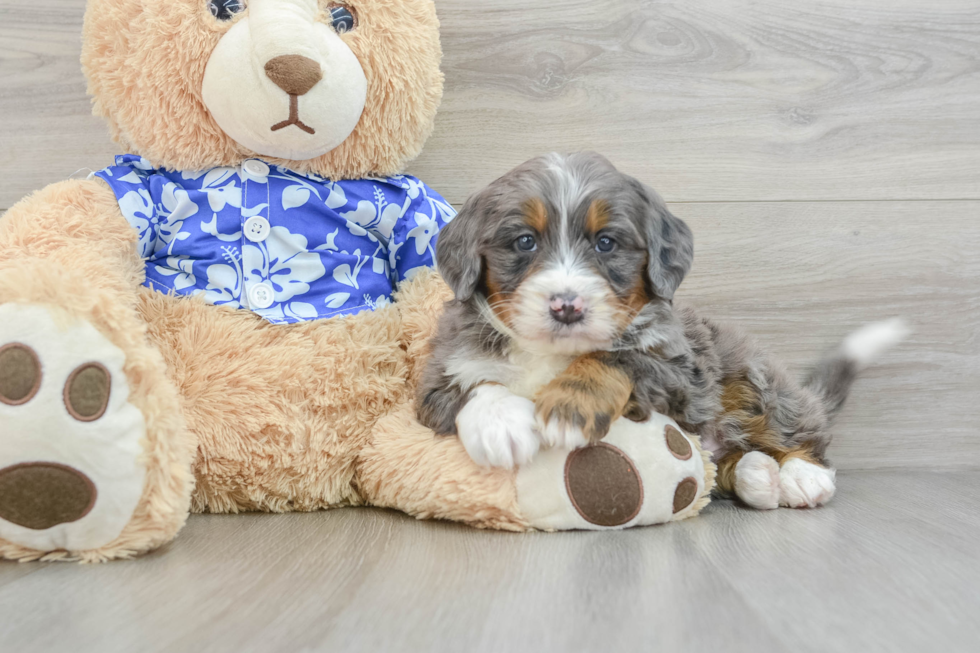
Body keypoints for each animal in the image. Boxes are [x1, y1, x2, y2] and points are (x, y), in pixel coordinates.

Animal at [418, 153, 908, 510]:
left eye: (606, 243)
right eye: (524, 241)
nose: (566, 306)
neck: (553, 354)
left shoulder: (682, 373)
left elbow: (615, 357)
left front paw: (570, 404)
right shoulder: (435, 376)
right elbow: (472, 382)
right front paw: (500, 424)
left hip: (752, 377)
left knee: (796, 427)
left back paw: (802, 474)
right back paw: (756, 476)